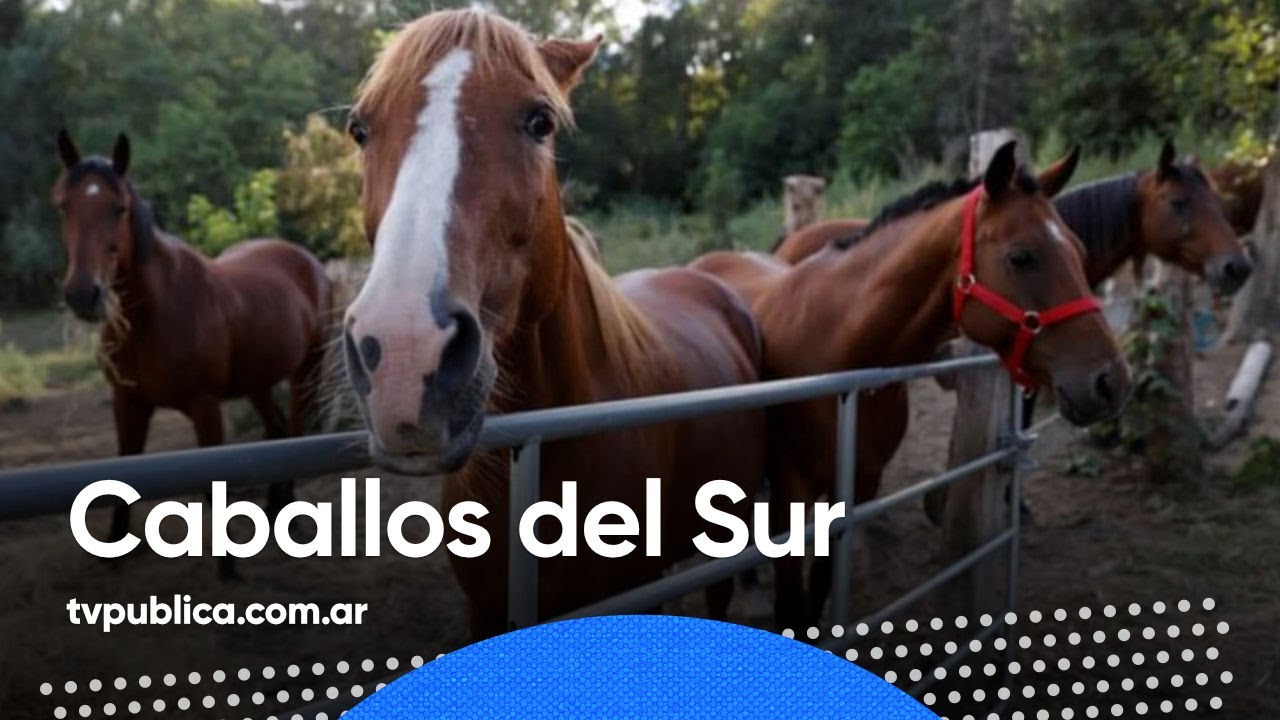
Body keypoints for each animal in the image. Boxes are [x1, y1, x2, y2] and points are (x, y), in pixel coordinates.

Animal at [52, 130, 332, 579]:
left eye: (119, 208)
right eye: (64, 205)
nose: (83, 294)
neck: (150, 316)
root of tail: (305, 259)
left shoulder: (205, 407)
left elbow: (215, 486)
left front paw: (228, 567)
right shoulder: (127, 403)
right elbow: (122, 470)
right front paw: (114, 550)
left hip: (307, 371)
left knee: (295, 431)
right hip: (257, 382)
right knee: (275, 431)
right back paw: (275, 510)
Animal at [691, 142, 1132, 627]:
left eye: (1077, 248)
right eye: (1021, 257)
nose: (1111, 381)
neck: (837, 352)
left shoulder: (856, 486)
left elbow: (821, 586)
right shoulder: (792, 491)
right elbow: (790, 604)